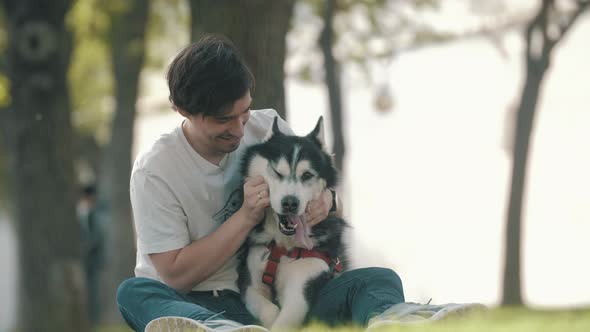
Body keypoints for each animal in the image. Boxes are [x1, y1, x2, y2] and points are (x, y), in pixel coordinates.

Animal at [238, 116, 350, 330]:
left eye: (307, 175)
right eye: (276, 172)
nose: (290, 203)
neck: (282, 247)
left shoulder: (302, 288)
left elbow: (284, 321)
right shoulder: (251, 283)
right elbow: (269, 309)